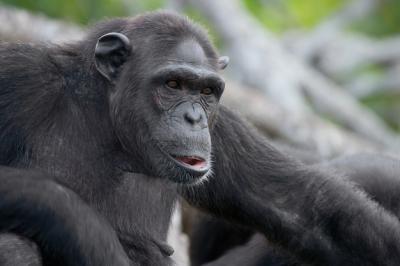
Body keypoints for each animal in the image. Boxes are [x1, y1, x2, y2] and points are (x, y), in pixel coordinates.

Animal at [0, 10, 400, 266]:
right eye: (173, 84)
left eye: (206, 91)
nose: (194, 118)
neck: (110, 122)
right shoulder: (18, 79)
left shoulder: (223, 129)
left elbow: (305, 209)